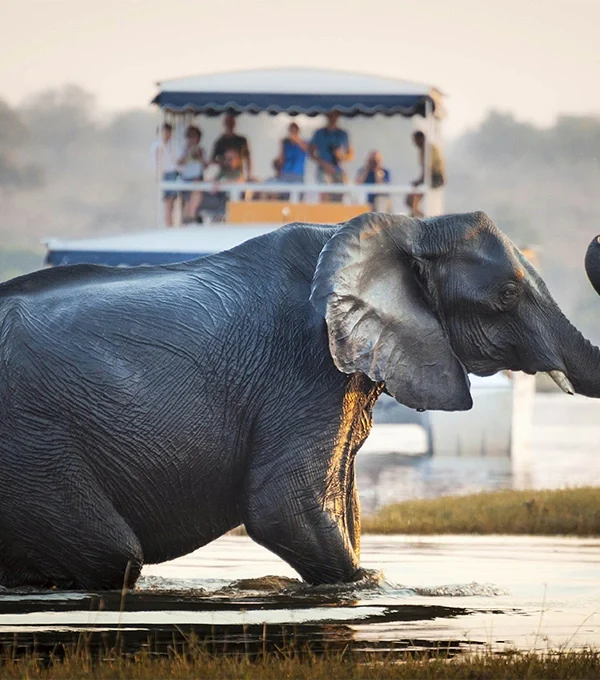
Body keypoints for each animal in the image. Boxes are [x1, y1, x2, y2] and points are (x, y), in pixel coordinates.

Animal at [1, 212, 600, 588]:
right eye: (507, 294)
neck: (403, 228)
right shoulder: (304, 366)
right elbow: (283, 507)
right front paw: (370, 586)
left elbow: (340, 506)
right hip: (32, 443)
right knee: (113, 556)